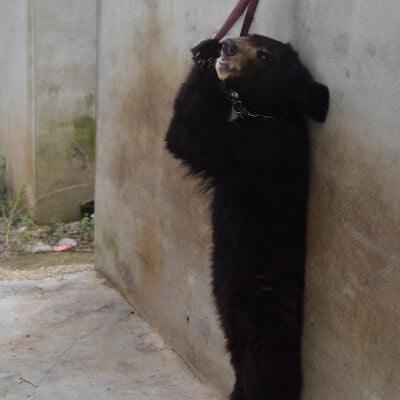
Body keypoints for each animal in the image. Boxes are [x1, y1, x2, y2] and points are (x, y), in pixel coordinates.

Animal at [165, 35, 328, 400]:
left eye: (265, 56)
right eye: (247, 38)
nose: (228, 46)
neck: (269, 113)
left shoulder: (253, 150)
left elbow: (187, 137)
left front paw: (207, 66)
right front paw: (206, 50)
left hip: (260, 317)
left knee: (263, 369)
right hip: (232, 315)